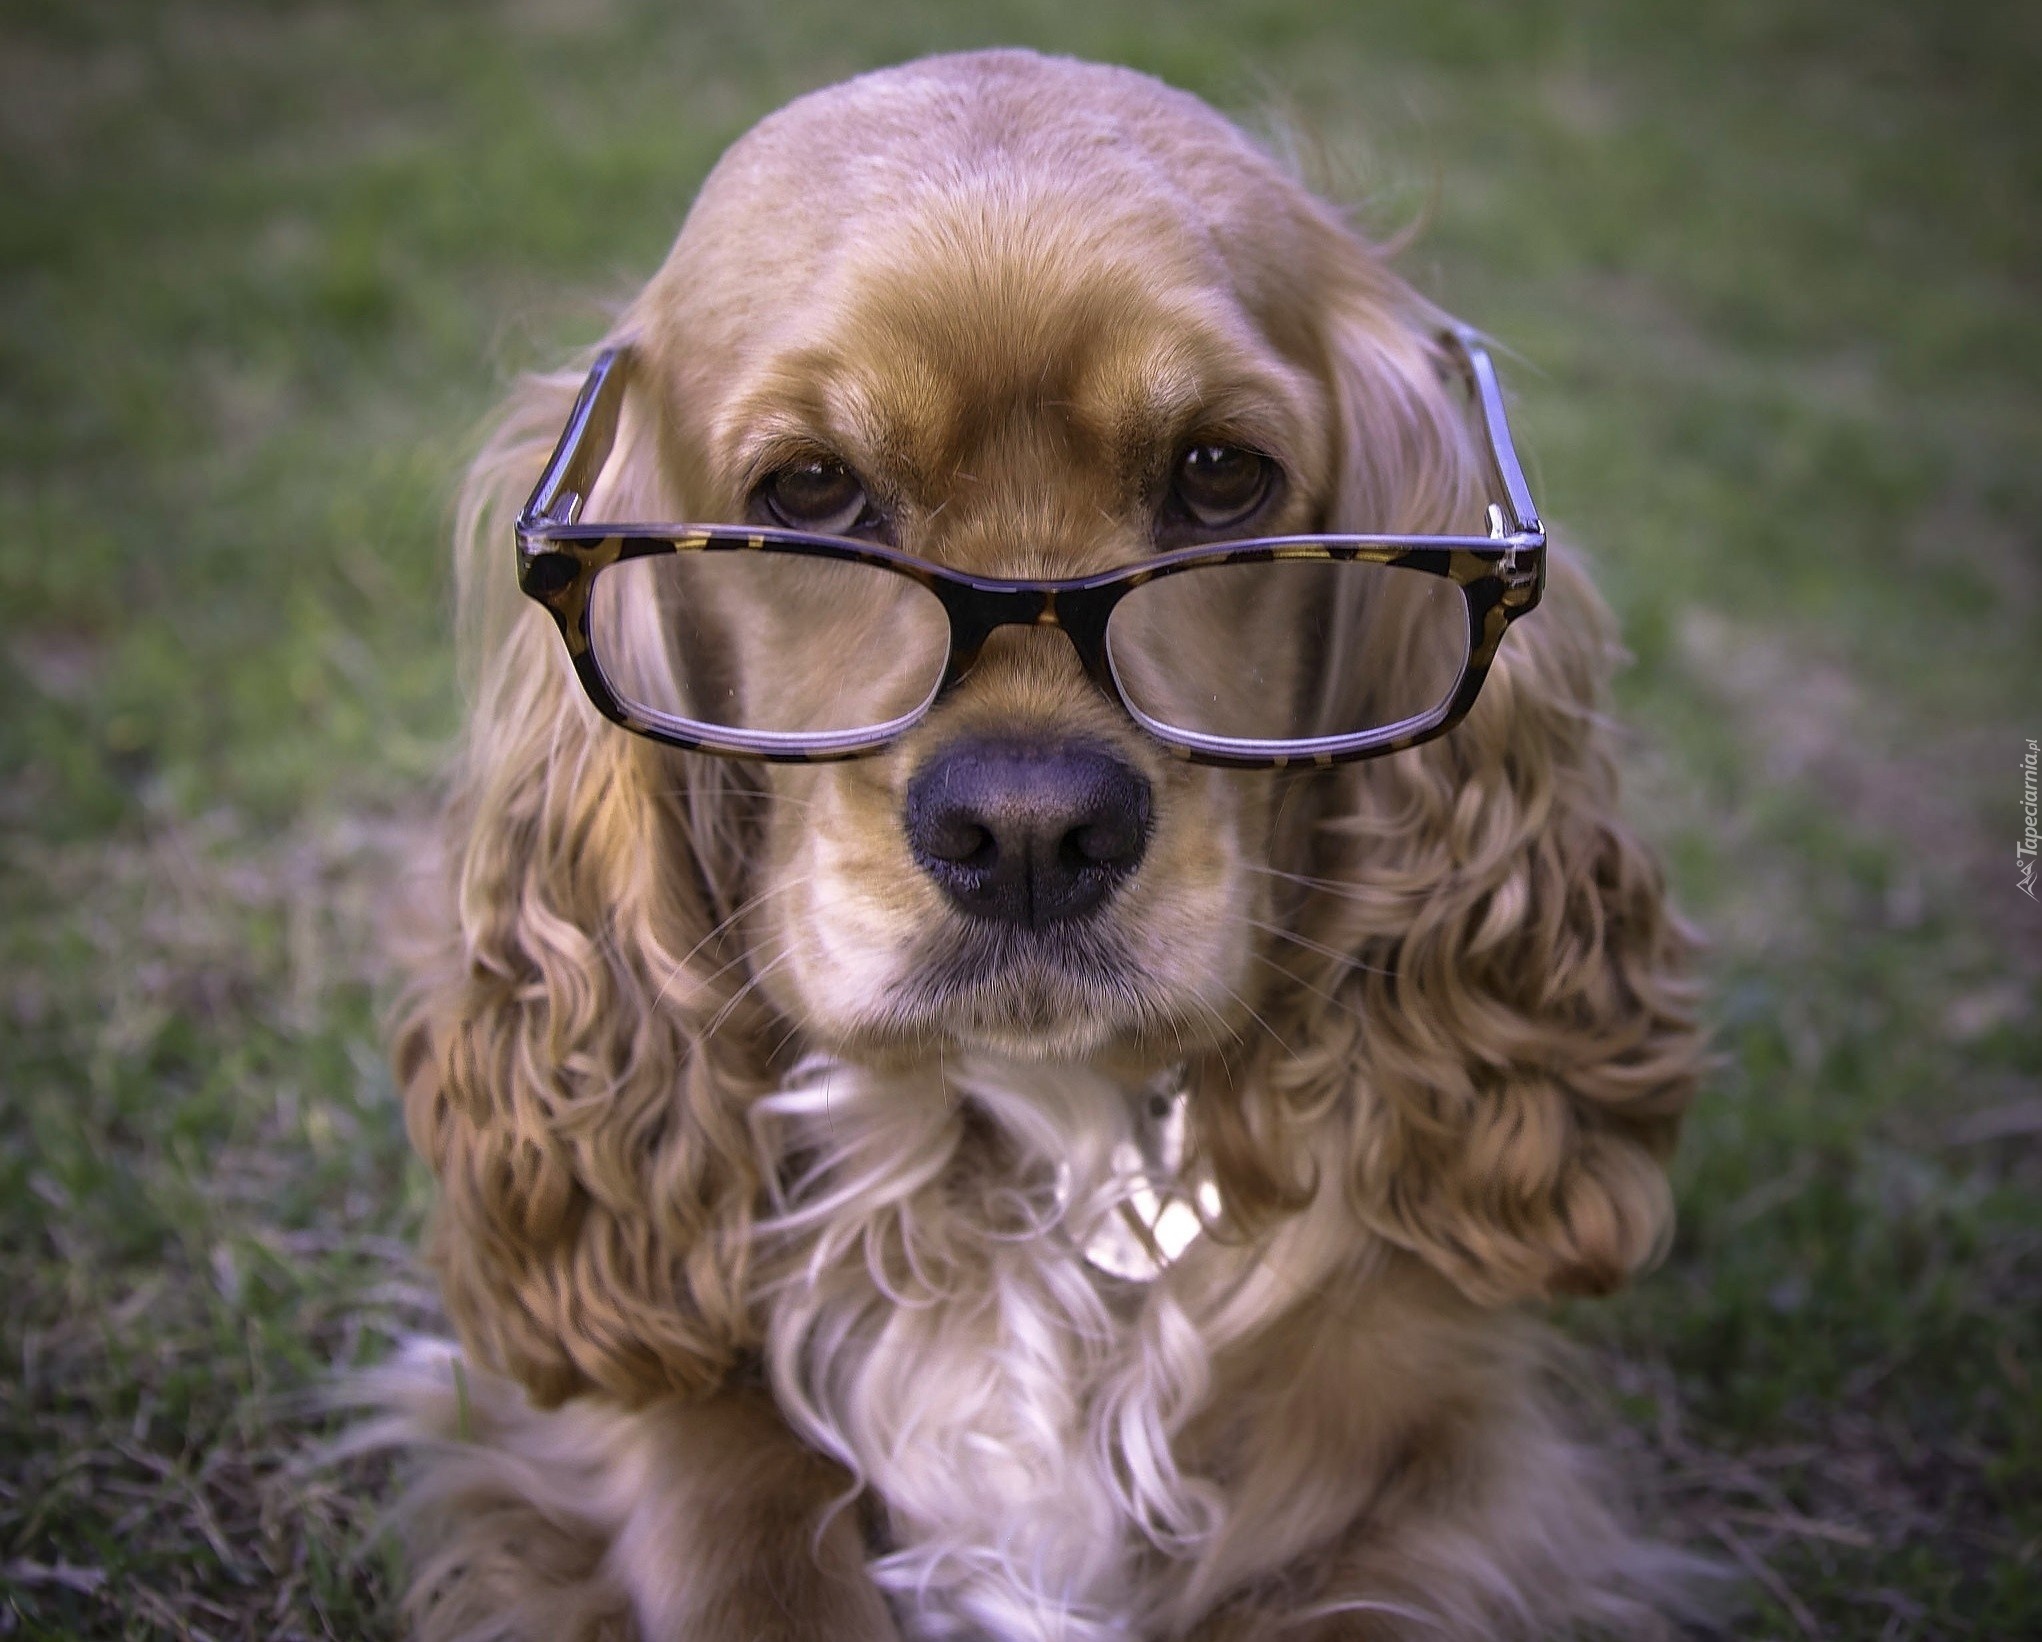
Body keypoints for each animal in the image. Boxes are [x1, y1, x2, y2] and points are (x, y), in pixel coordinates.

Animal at [379, 47, 1707, 1642]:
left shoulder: (1441, 1453)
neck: (1022, 1150)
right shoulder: (633, 1423)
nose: (1025, 831)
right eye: (807, 492)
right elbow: (748, 1556)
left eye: (1219, 471)